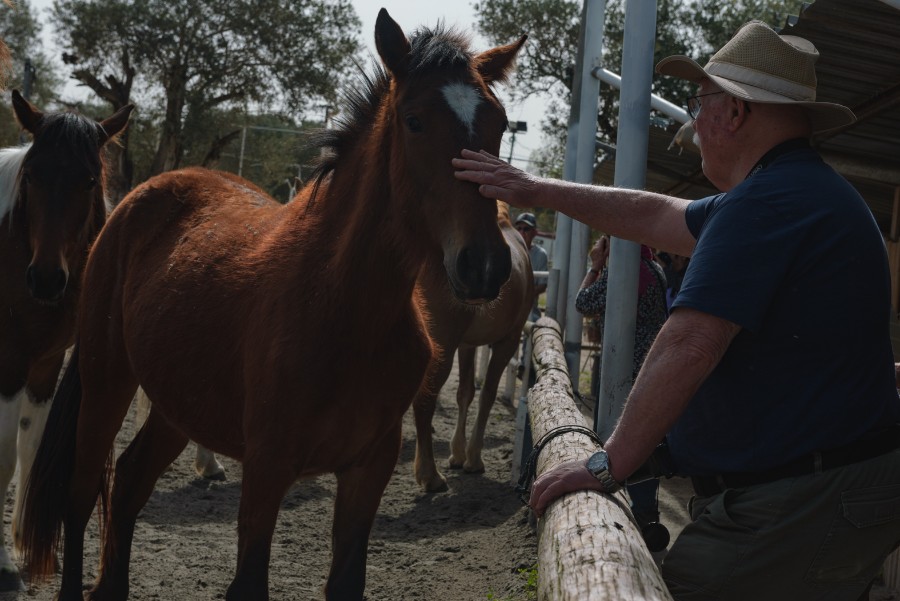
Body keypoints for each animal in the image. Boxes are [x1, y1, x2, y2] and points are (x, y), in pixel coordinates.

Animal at [0, 92, 132, 592]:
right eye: (32, 174)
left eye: (89, 179)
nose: (45, 278)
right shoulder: (11, 364)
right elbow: (4, 457)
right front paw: (3, 564)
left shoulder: (45, 364)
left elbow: (29, 450)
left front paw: (24, 546)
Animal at [414, 199, 536, 490]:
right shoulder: (508, 341)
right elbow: (487, 394)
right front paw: (473, 458)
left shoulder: (467, 345)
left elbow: (465, 393)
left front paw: (458, 454)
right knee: (424, 399)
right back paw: (430, 475)